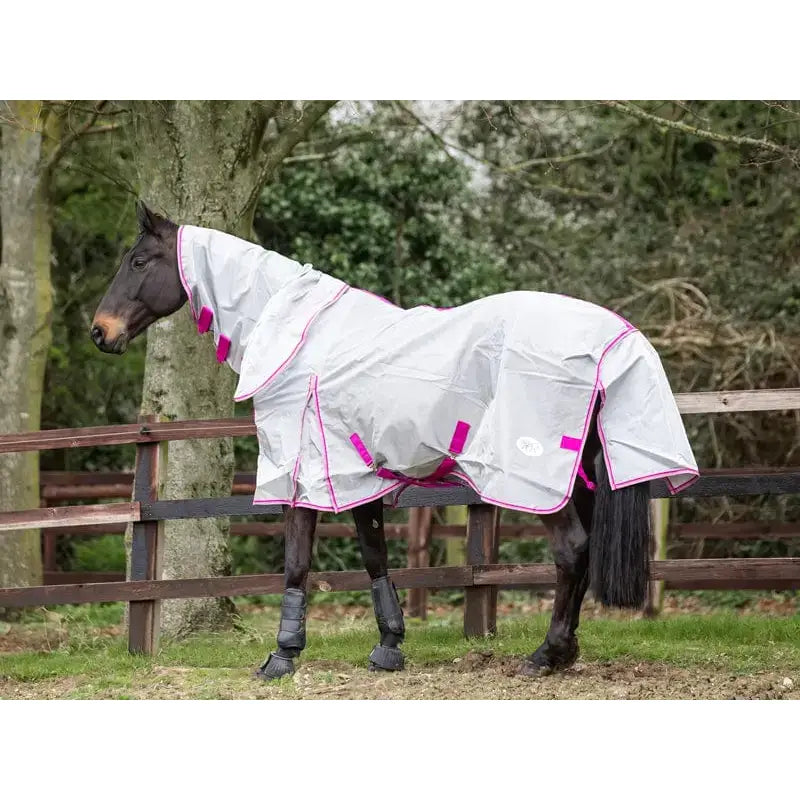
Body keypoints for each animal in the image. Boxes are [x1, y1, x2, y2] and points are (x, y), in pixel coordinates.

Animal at [91, 202, 698, 679]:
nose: (100, 331)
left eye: (139, 262)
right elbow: (375, 555)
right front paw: (388, 646)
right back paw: (564, 651)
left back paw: (545, 655)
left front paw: (282, 657)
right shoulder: (355, 474)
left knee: (571, 550)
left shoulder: (302, 471)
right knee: (582, 553)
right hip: (584, 473)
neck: (298, 335)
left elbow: (296, 560)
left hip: (535, 477)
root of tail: (616, 335)